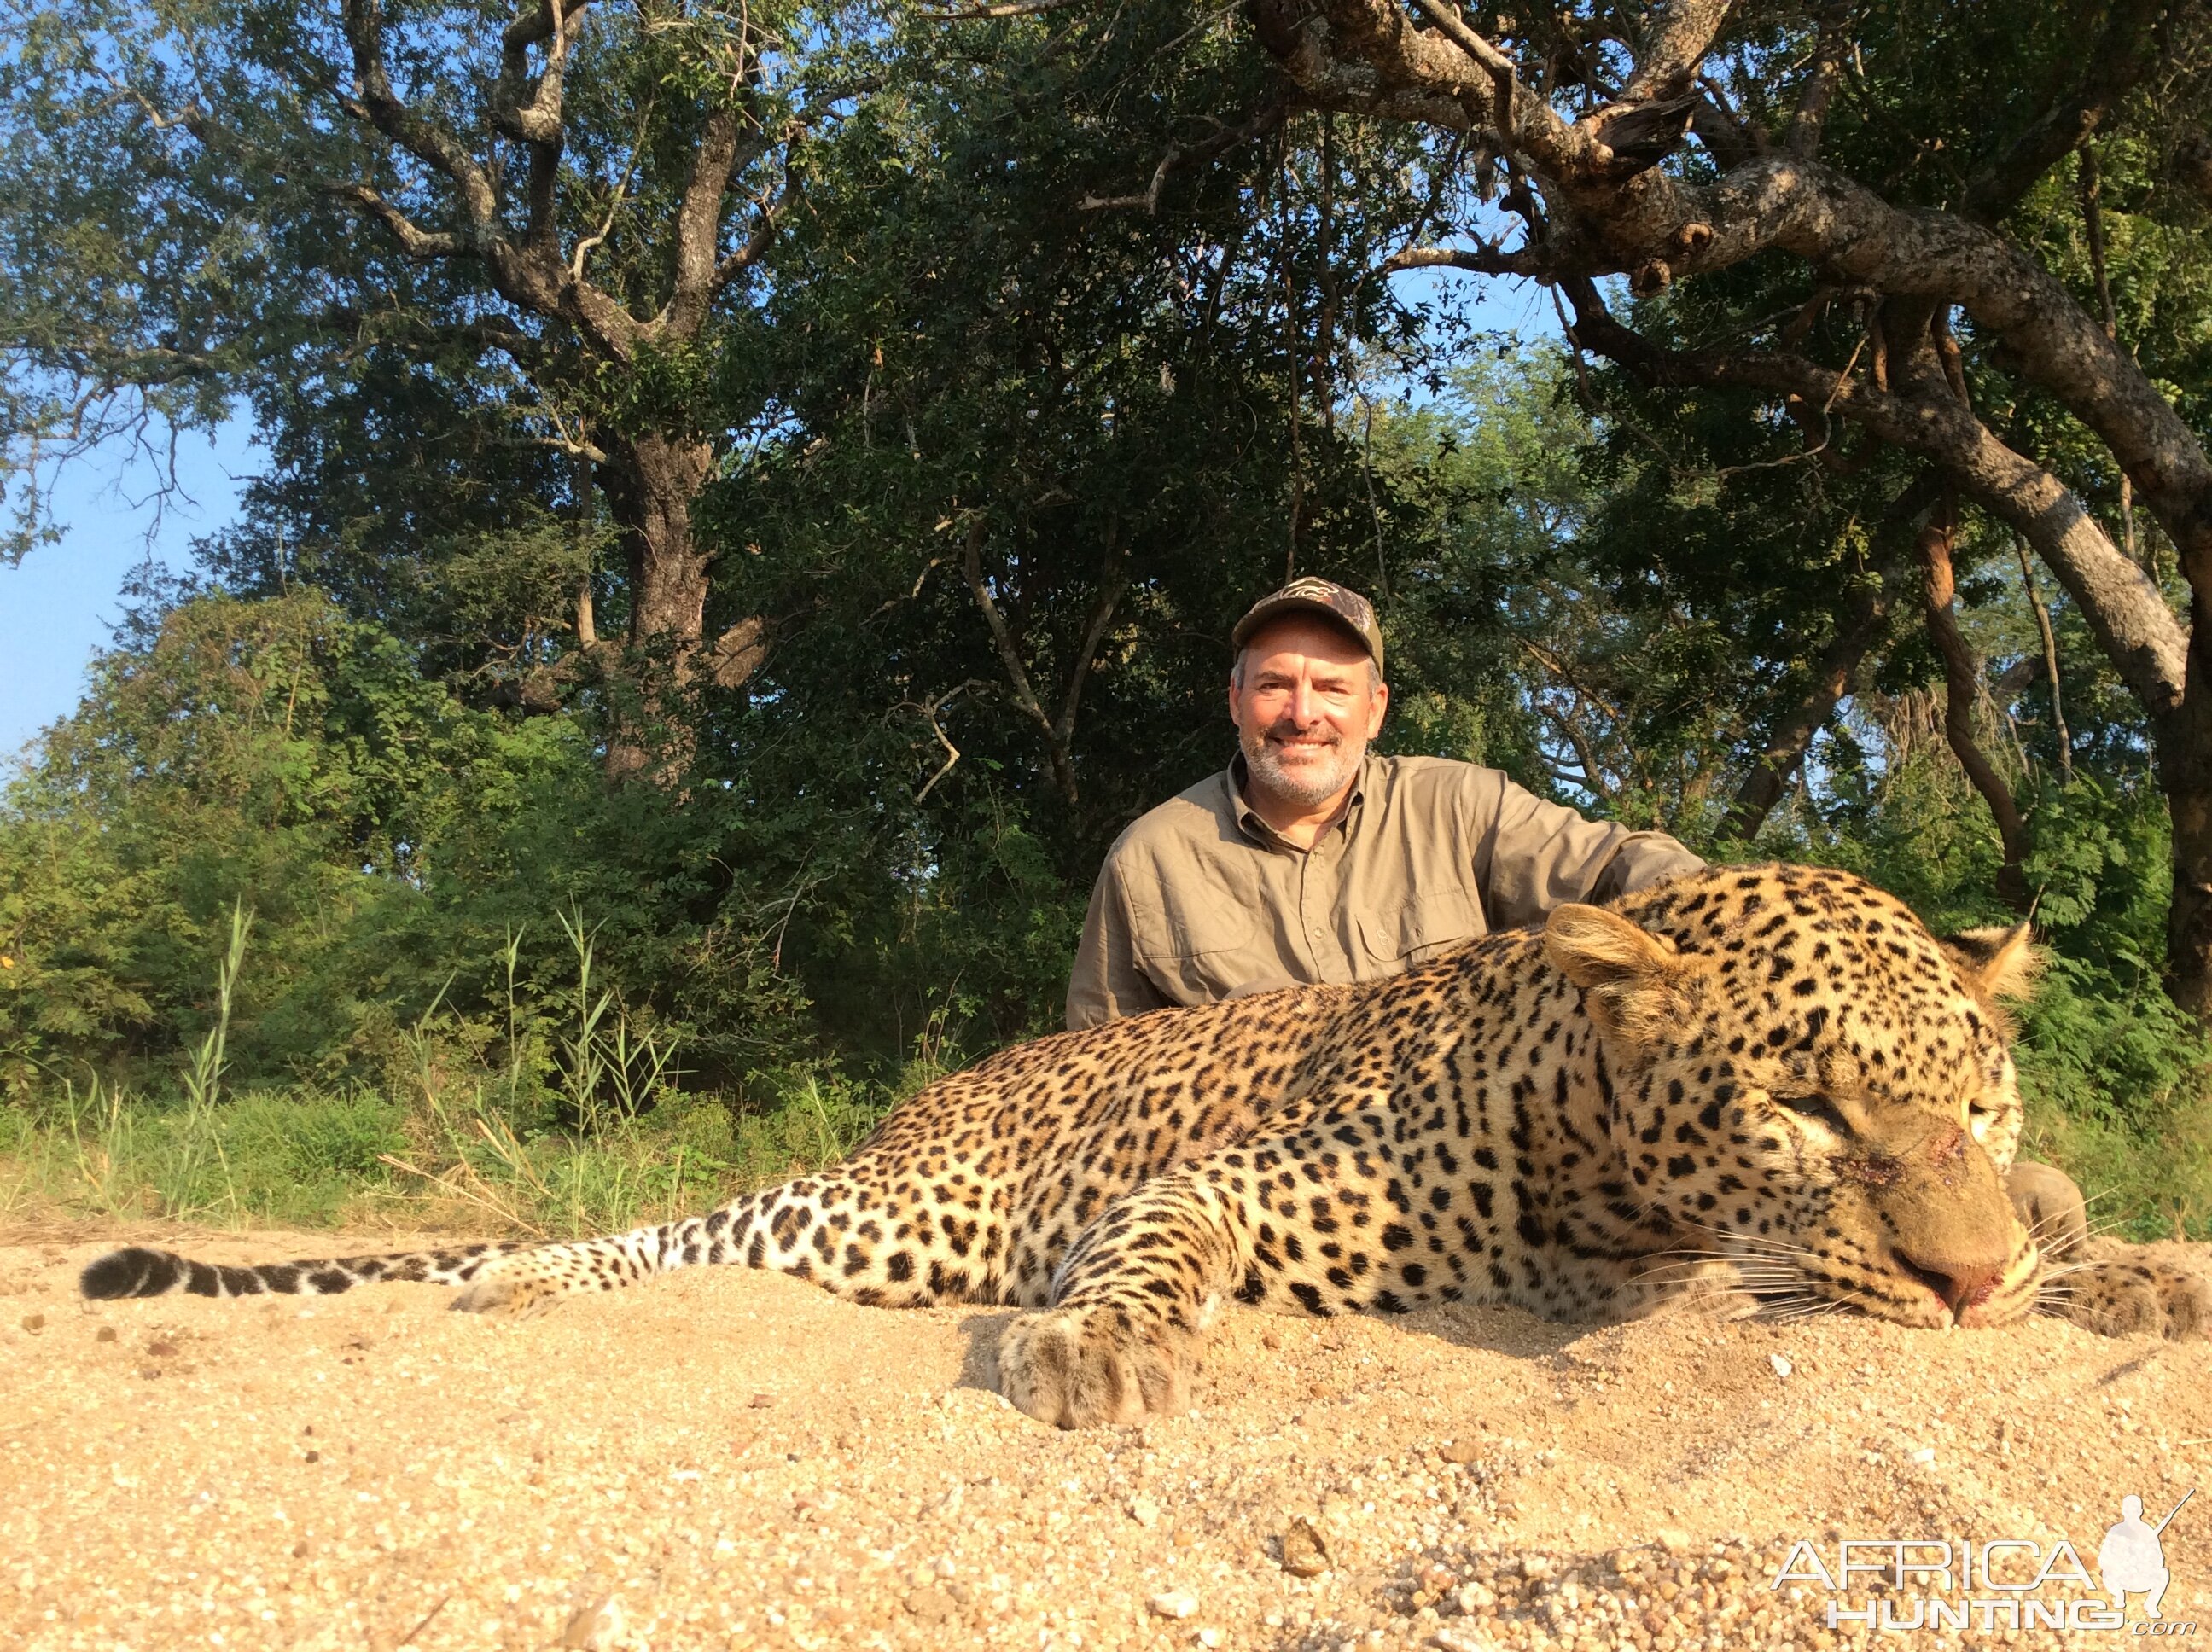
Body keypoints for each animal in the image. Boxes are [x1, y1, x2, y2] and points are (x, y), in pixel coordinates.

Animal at [78, 858, 2203, 1424]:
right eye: (1807, 1105)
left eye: (1981, 1102)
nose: (1960, 1284)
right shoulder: (1237, 1179)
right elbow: (1154, 1248)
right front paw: (1096, 1347)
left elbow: (2070, 1230)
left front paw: (2115, 1268)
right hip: (891, 1211)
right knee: (682, 1230)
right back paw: (516, 1283)